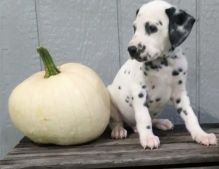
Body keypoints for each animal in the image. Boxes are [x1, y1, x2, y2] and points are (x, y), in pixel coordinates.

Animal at [107, 0, 216, 149]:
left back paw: (161, 122)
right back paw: (118, 130)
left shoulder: (180, 94)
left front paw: (201, 135)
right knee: (116, 121)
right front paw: (148, 137)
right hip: (110, 98)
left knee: (149, 119)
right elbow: (144, 117)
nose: (131, 49)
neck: (164, 64)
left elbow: (190, 116)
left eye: (152, 28)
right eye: (134, 28)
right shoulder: (139, 92)